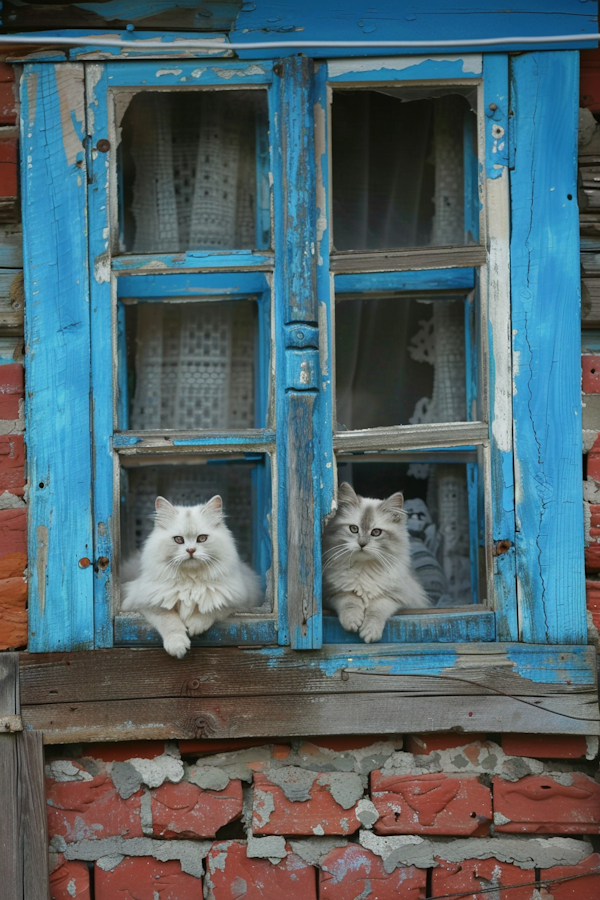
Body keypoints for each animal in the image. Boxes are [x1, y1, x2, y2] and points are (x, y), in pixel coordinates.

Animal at [120, 496, 262, 656]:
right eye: (178, 540)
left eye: (202, 538)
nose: (191, 550)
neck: (191, 579)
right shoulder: (145, 604)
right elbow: (170, 622)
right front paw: (177, 646)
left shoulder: (238, 602)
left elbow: (210, 609)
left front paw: (194, 626)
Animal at [324, 486, 432, 640]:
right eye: (354, 529)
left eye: (376, 532)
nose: (362, 544)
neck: (364, 567)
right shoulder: (331, 593)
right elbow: (349, 600)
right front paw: (352, 621)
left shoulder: (396, 597)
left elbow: (376, 610)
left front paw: (370, 632)